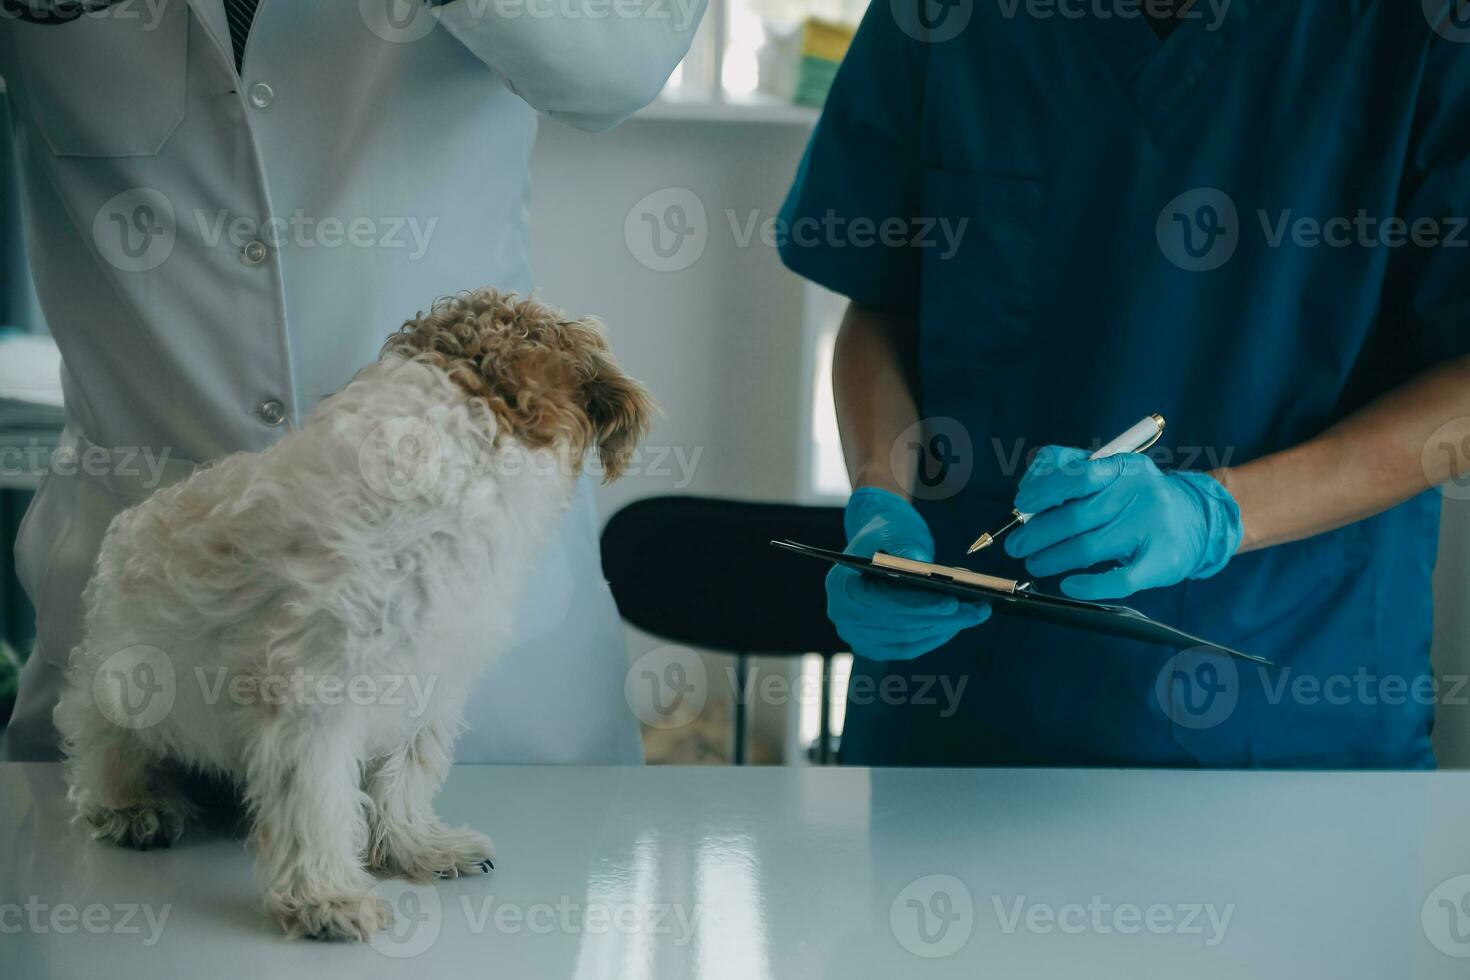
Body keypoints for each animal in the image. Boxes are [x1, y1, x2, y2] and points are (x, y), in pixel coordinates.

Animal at [53, 290, 649, 940]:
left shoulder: (426, 678)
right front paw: (324, 898)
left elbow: (403, 778)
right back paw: (134, 807)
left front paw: (414, 847)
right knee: (100, 749)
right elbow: (315, 802)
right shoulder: (313, 695)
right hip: (119, 688)